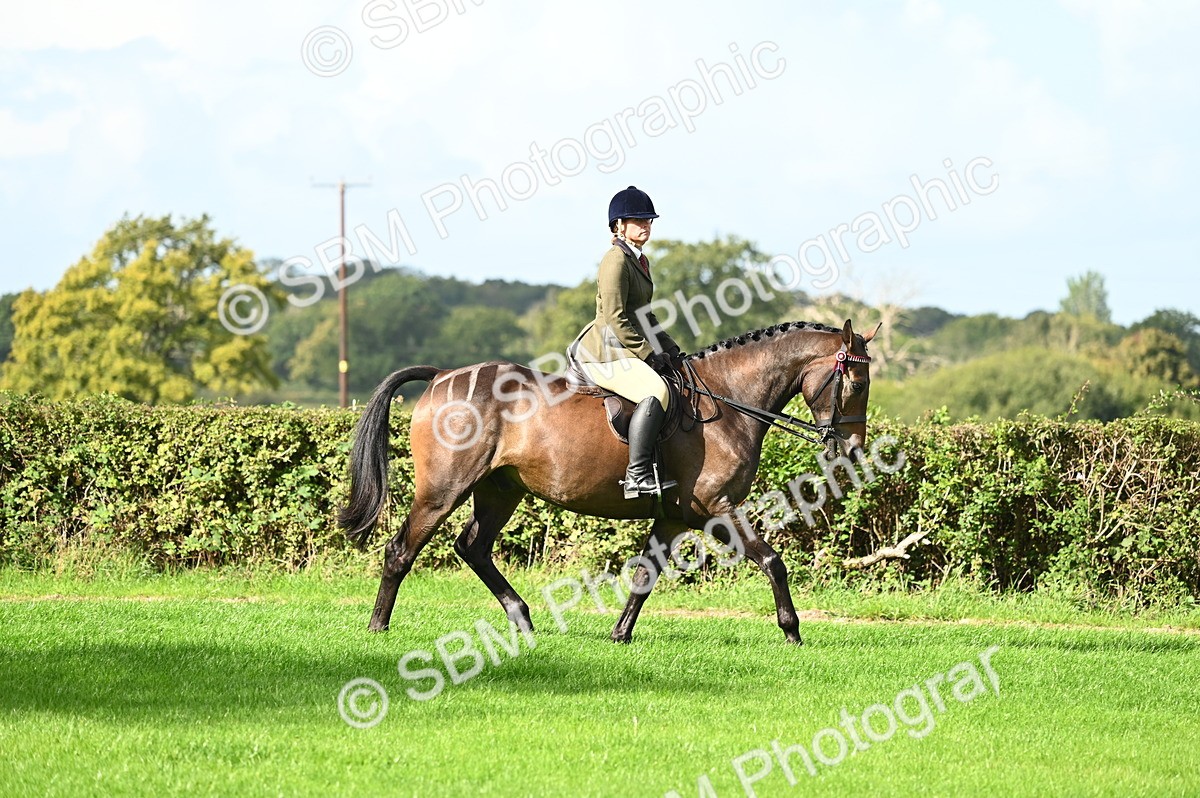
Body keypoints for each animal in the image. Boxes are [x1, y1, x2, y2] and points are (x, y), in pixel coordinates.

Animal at [338, 319, 877, 644]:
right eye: (856, 383)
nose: (852, 450)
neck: (728, 401)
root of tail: (442, 375)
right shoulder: (718, 508)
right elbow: (772, 561)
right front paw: (793, 631)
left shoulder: (674, 517)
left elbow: (644, 577)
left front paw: (620, 634)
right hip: (443, 490)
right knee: (401, 550)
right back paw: (378, 627)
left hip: (500, 490)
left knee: (473, 547)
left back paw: (522, 618)